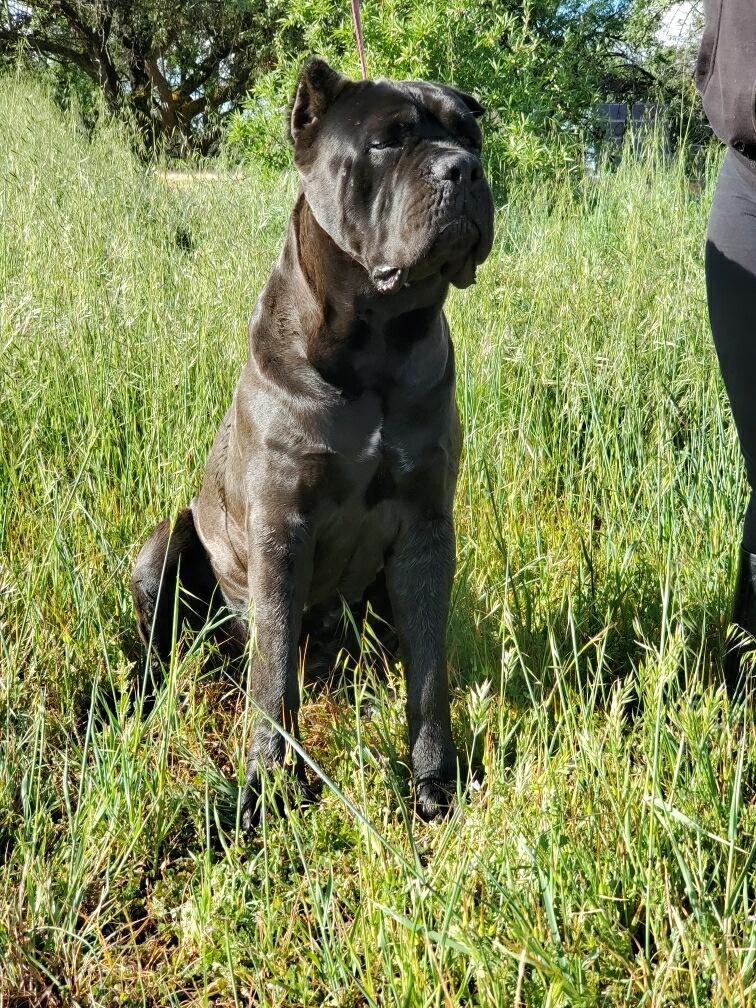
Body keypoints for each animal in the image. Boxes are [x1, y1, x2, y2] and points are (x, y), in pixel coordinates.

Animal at [131, 57, 494, 826]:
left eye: (471, 136)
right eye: (388, 142)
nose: (465, 170)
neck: (378, 341)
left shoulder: (427, 529)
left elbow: (428, 673)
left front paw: (434, 785)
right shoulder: (281, 527)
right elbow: (272, 677)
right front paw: (266, 788)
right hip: (161, 545)